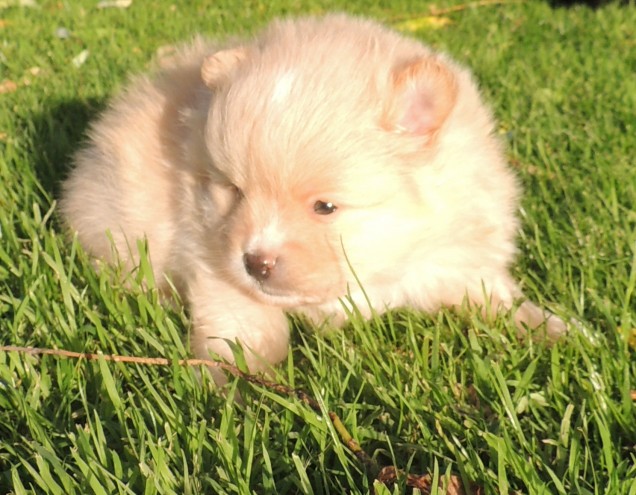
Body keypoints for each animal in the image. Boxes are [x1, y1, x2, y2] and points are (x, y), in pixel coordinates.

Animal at [60, 14, 568, 380]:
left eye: (325, 208)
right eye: (236, 192)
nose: (256, 263)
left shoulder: (457, 256)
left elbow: (497, 296)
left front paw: (558, 331)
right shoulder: (210, 254)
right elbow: (248, 330)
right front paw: (233, 392)